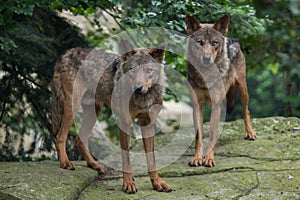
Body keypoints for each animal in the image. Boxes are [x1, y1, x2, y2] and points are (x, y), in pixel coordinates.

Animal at [51, 39, 171, 194]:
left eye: (148, 70)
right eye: (132, 70)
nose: (138, 88)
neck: (144, 98)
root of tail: (66, 53)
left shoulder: (147, 124)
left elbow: (152, 159)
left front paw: (157, 183)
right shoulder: (124, 123)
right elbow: (126, 159)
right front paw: (128, 184)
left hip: (94, 111)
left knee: (79, 138)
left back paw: (94, 164)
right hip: (72, 106)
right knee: (60, 136)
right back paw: (65, 163)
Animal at [184, 14, 256, 167]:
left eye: (214, 43)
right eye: (199, 42)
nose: (206, 58)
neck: (205, 75)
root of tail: (232, 39)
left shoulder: (216, 105)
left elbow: (212, 134)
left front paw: (209, 159)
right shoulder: (197, 106)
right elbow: (199, 136)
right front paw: (197, 158)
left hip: (243, 89)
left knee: (245, 111)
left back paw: (250, 133)